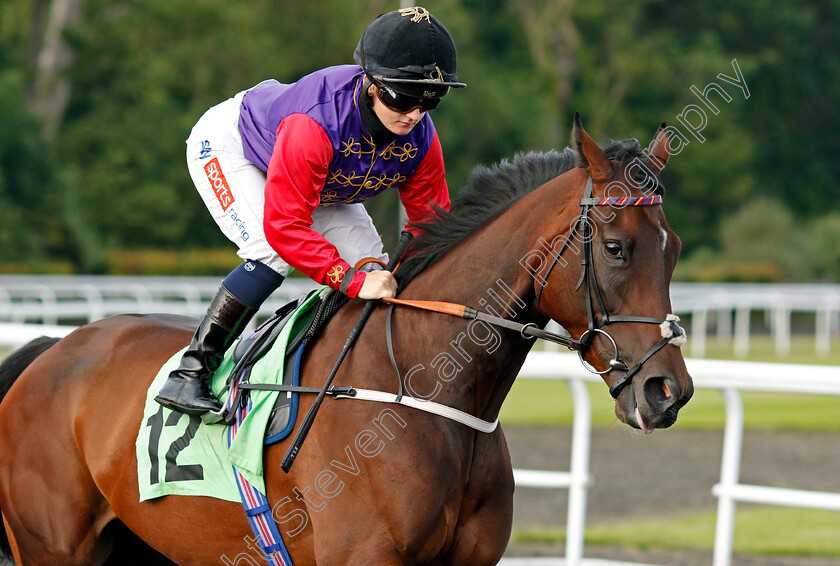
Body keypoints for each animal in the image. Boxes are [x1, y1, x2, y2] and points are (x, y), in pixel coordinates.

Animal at [3, 117, 692, 564]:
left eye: (675, 249)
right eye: (615, 247)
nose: (669, 391)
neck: (423, 388)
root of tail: (52, 350)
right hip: (52, 545)